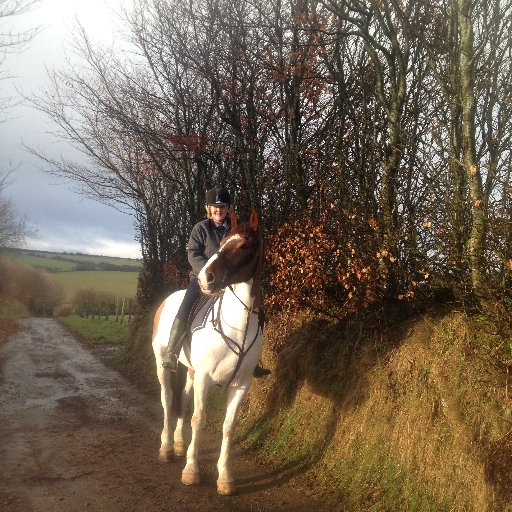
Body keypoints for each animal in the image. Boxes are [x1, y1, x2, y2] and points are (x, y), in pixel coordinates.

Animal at [151, 210, 264, 494]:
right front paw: (191, 470)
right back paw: (167, 448)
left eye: (244, 245)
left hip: (191, 371)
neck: (238, 325)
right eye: (222, 243)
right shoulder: (204, 377)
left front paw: (225, 477)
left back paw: (179, 443)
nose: (206, 278)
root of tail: (168, 299)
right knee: (168, 399)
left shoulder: (241, 385)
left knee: (182, 398)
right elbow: (199, 418)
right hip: (163, 365)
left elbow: (228, 426)